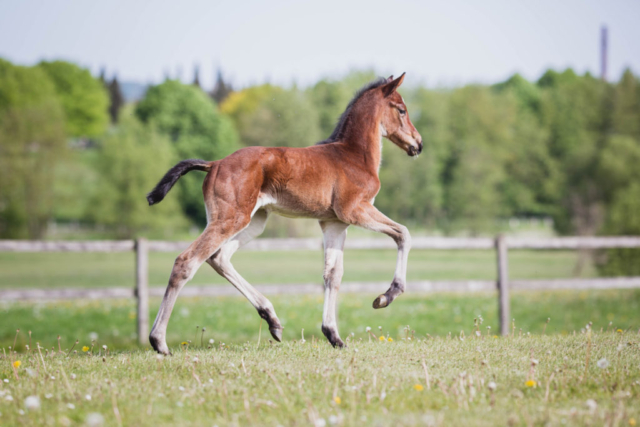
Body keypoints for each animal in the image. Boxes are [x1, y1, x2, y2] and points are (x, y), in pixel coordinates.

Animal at [148, 73, 422, 354]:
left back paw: (273, 320)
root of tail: (214, 164)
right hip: (231, 219)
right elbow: (404, 233)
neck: (353, 156)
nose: (418, 143)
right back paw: (159, 342)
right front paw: (386, 296)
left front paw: (333, 336)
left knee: (219, 257)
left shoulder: (333, 222)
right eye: (402, 110)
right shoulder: (355, 210)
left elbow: (332, 274)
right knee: (186, 261)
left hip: (254, 221)